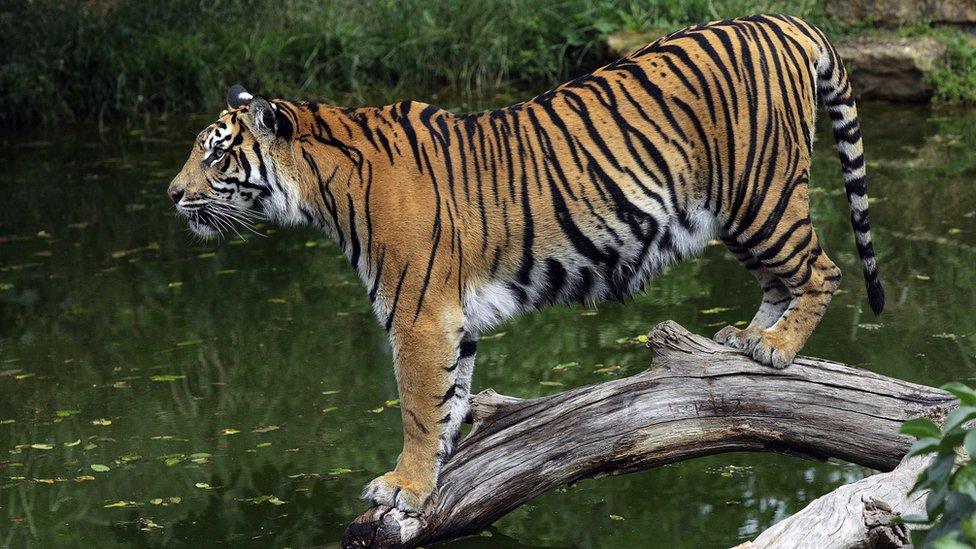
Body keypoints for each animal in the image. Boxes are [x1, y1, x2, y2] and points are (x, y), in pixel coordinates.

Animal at [168, 13, 884, 520]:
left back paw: (778, 347)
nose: (172, 194)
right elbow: (449, 399)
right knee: (781, 276)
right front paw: (437, 470)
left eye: (215, 154)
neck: (322, 189)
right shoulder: (447, 318)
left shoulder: (418, 316)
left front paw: (404, 484)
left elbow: (416, 407)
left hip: (761, 194)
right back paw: (749, 337)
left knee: (821, 269)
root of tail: (781, 20)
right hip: (741, 212)